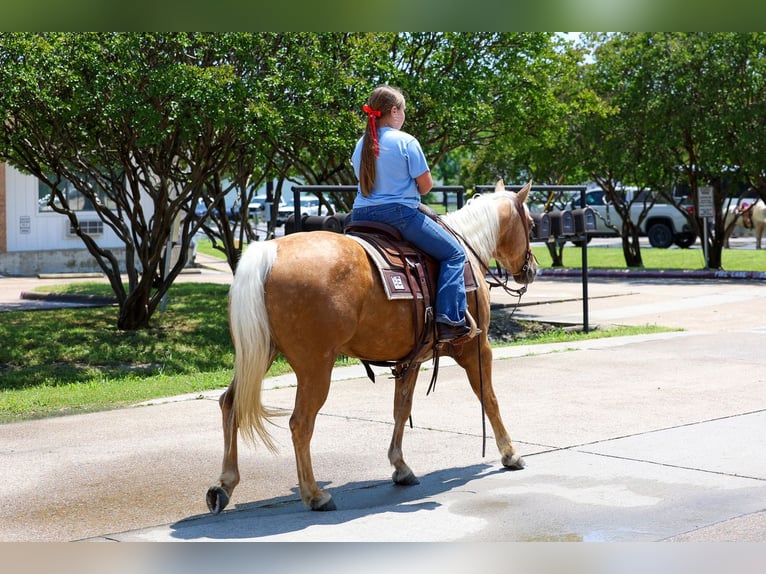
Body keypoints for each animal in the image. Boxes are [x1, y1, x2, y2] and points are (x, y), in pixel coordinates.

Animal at [206, 179, 538, 514]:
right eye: (532, 224)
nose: (533, 269)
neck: (468, 249)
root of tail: (270, 251)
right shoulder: (477, 348)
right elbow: (490, 399)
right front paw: (510, 453)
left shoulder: (411, 359)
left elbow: (401, 409)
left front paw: (401, 467)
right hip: (315, 367)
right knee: (300, 423)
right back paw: (314, 494)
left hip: (260, 353)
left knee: (230, 404)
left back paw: (224, 485)